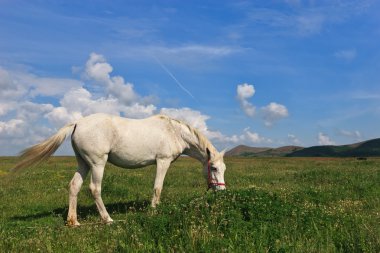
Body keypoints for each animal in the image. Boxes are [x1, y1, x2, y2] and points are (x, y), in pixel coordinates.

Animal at [14, 113, 226, 226]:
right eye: (213, 167)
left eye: (224, 168)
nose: (221, 191)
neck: (174, 132)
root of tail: (77, 123)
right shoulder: (162, 162)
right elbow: (157, 188)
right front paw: (154, 211)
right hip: (97, 164)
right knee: (94, 189)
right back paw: (108, 219)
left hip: (83, 163)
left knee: (74, 186)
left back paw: (73, 222)